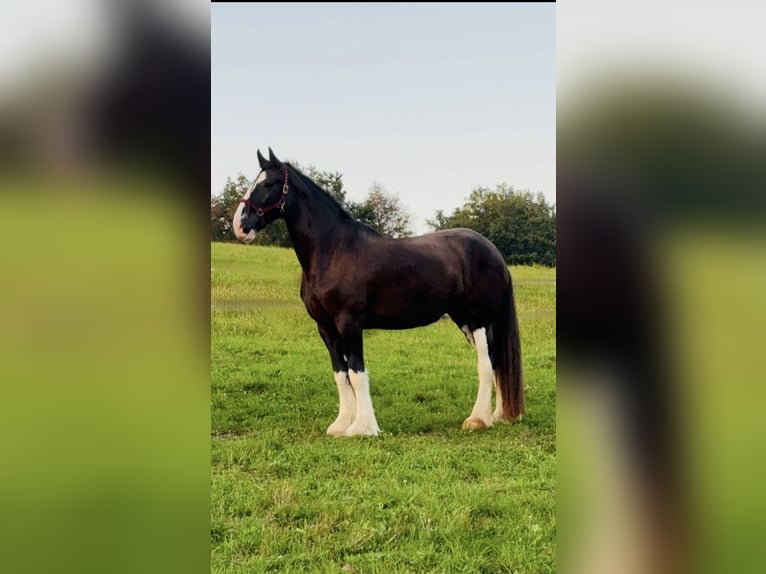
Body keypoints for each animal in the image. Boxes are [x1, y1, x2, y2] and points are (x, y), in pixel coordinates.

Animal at [232, 148, 524, 436]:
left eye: (269, 183)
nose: (240, 225)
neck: (332, 249)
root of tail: (494, 252)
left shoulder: (349, 323)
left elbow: (357, 373)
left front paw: (363, 427)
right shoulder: (325, 327)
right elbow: (341, 373)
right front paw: (342, 424)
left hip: (479, 321)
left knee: (487, 364)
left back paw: (477, 419)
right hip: (465, 320)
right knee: (498, 363)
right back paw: (497, 415)